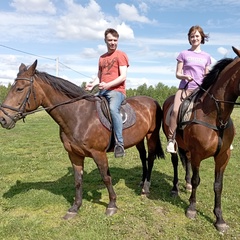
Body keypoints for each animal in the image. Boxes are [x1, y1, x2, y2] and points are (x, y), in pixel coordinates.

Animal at [0, 59, 165, 219]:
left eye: (19, 88)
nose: (3, 119)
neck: (79, 116)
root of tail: (152, 101)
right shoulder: (74, 155)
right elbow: (78, 181)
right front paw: (75, 208)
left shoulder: (99, 154)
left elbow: (106, 177)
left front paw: (112, 205)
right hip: (139, 139)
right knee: (143, 157)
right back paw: (142, 182)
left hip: (151, 136)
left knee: (150, 159)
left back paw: (146, 188)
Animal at [162, 46, 239, 232]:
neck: (216, 117)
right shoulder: (198, 154)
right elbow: (197, 180)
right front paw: (191, 209)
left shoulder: (223, 157)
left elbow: (218, 186)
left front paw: (219, 219)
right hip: (174, 143)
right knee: (176, 163)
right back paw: (175, 188)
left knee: (186, 161)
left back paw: (187, 183)